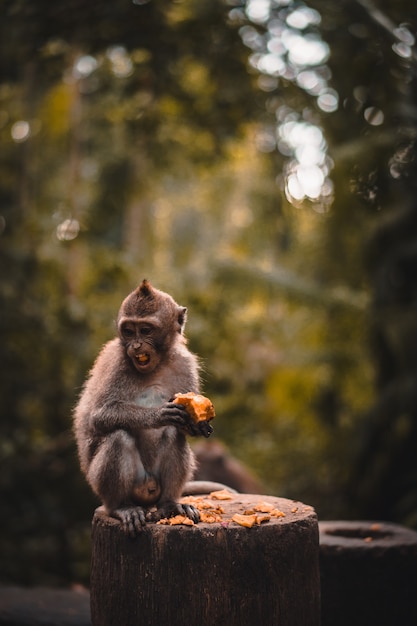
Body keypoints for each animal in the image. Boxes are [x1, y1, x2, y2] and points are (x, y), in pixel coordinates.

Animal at [73, 280, 210, 532]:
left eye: (145, 330)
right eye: (129, 330)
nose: (136, 346)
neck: (158, 364)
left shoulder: (185, 363)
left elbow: (183, 424)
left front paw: (197, 424)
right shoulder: (118, 363)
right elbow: (99, 416)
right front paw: (158, 415)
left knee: (174, 434)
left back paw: (170, 504)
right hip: (105, 484)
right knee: (118, 438)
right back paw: (121, 507)